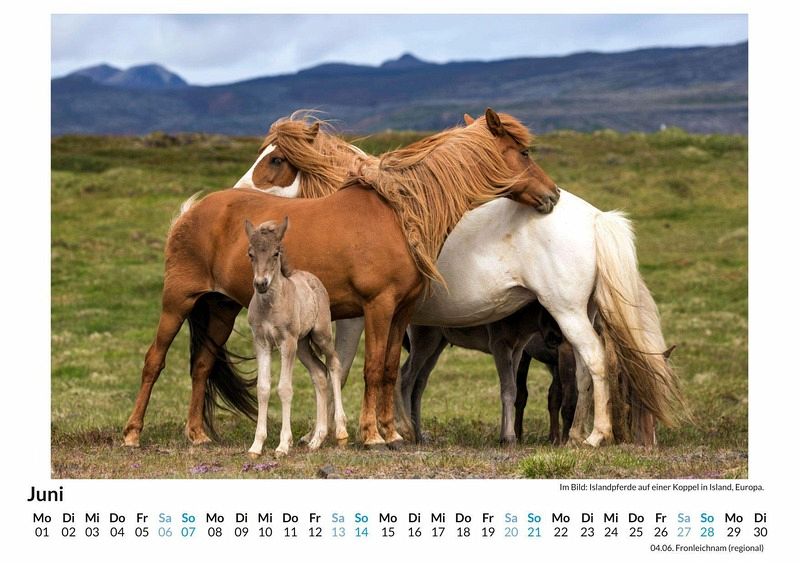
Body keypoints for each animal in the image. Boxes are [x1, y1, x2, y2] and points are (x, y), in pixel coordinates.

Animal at [244, 217, 347, 458]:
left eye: (276, 253)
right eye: (250, 253)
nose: (260, 284)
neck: (270, 306)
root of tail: (312, 277)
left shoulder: (287, 342)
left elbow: (284, 388)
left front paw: (283, 445)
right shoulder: (261, 342)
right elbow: (263, 388)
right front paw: (256, 446)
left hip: (320, 335)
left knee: (333, 364)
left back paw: (340, 433)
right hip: (302, 345)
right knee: (319, 373)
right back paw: (317, 439)